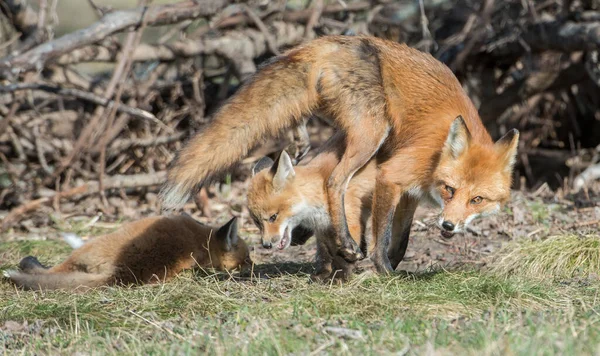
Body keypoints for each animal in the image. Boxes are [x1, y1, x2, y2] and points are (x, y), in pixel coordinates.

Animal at [2, 214, 251, 290]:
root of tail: (122, 273)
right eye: (248, 258)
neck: (201, 243)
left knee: (48, 271)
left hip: (87, 250)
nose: (251, 267)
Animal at [161, 35, 520, 272]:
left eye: (477, 200)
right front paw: (384, 271)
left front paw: (390, 264)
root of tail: (329, 42)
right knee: (334, 180)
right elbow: (382, 236)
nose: (448, 226)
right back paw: (344, 241)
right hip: (373, 131)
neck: (437, 155)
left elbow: (401, 240)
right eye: (450, 189)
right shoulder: (393, 175)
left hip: (346, 127)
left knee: (306, 156)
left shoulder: (410, 194)